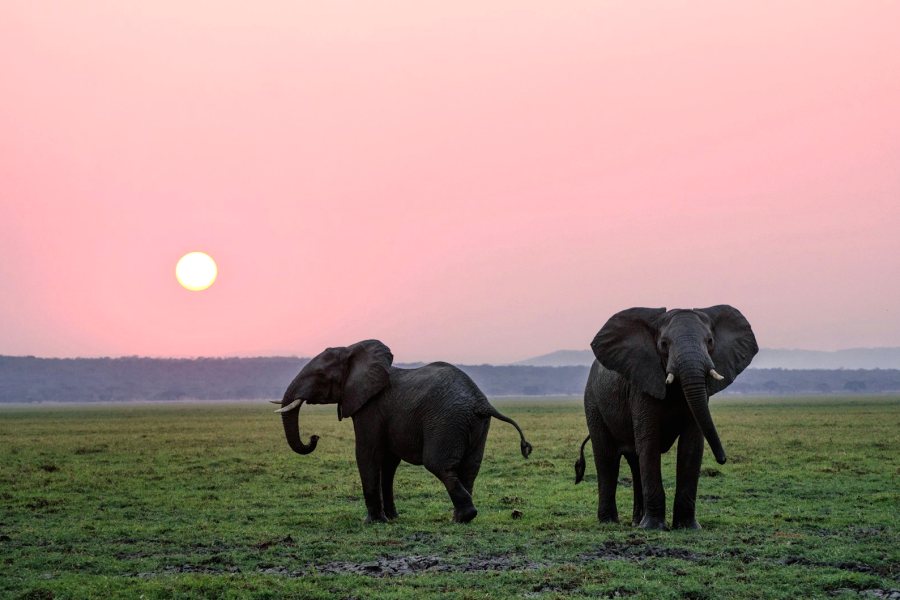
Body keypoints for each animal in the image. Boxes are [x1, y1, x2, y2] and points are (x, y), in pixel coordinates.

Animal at [274, 339, 533, 523]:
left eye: (320, 376)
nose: (314, 437)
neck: (352, 350)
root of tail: (481, 401)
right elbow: (388, 463)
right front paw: (392, 518)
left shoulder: (370, 407)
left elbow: (367, 453)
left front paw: (373, 521)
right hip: (476, 424)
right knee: (469, 469)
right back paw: (460, 518)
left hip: (446, 421)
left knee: (439, 464)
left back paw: (463, 517)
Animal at [574, 306, 757, 529]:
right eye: (663, 344)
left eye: (710, 341)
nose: (722, 459)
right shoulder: (642, 384)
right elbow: (649, 443)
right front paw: (653, 528)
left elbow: (691, 445)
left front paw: (687, 527)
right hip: (593, 402)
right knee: (607, 457)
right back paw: (610, 522)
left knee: (635, 461)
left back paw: (636, 522)